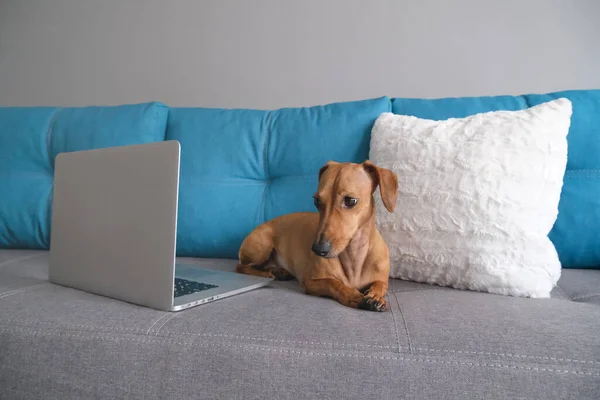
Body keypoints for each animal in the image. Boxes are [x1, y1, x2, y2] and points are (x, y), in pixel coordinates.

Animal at [236, 161, 398, 310]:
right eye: (317, 201)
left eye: (350, 200)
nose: (318, 249)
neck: (353, 258)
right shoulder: (310, 282)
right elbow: (333, 283)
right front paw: (353, 295)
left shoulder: (382, 279)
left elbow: (380, 284)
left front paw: (375, 296)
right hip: (262, 246)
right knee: (241, 267)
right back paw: (270, 274)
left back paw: (277, 271)